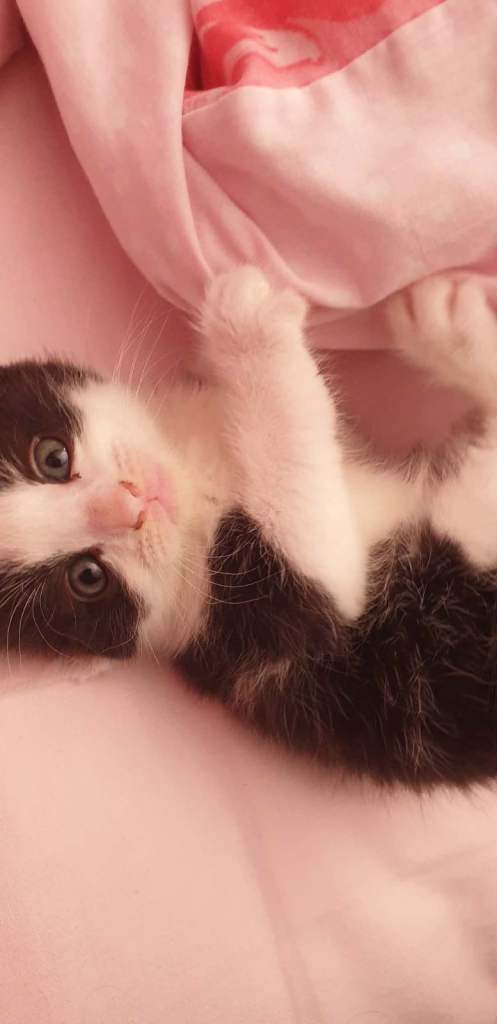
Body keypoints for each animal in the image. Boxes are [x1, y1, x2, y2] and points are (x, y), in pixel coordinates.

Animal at [1, 267, 497, 789]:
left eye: (52, 457)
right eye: (87, 578)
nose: (131, 504)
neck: (194, 484)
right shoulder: (261, 627)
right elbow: (313, 538)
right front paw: (250, 329)